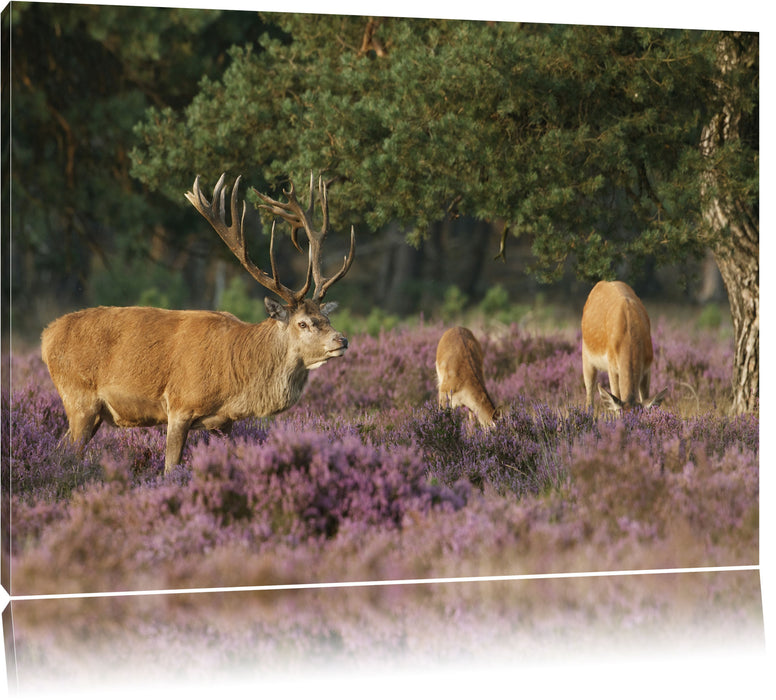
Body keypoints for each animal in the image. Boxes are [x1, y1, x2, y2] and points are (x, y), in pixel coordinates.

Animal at [41, 172, 354, 474]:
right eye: (303, 323)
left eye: (326, 317)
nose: (342, 340)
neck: (236, 377)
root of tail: (46, 336)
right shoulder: (179, 406)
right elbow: (170, 468)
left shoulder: (225, 423)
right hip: (78, 398)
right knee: (68, 453)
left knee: (58, 450)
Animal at [584, 278, 668, 410]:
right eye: (622, 414)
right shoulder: (612, 367)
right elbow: (616, 397)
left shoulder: (648, 366)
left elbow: (645, 397)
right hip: (586, 357)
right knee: (589, 396)